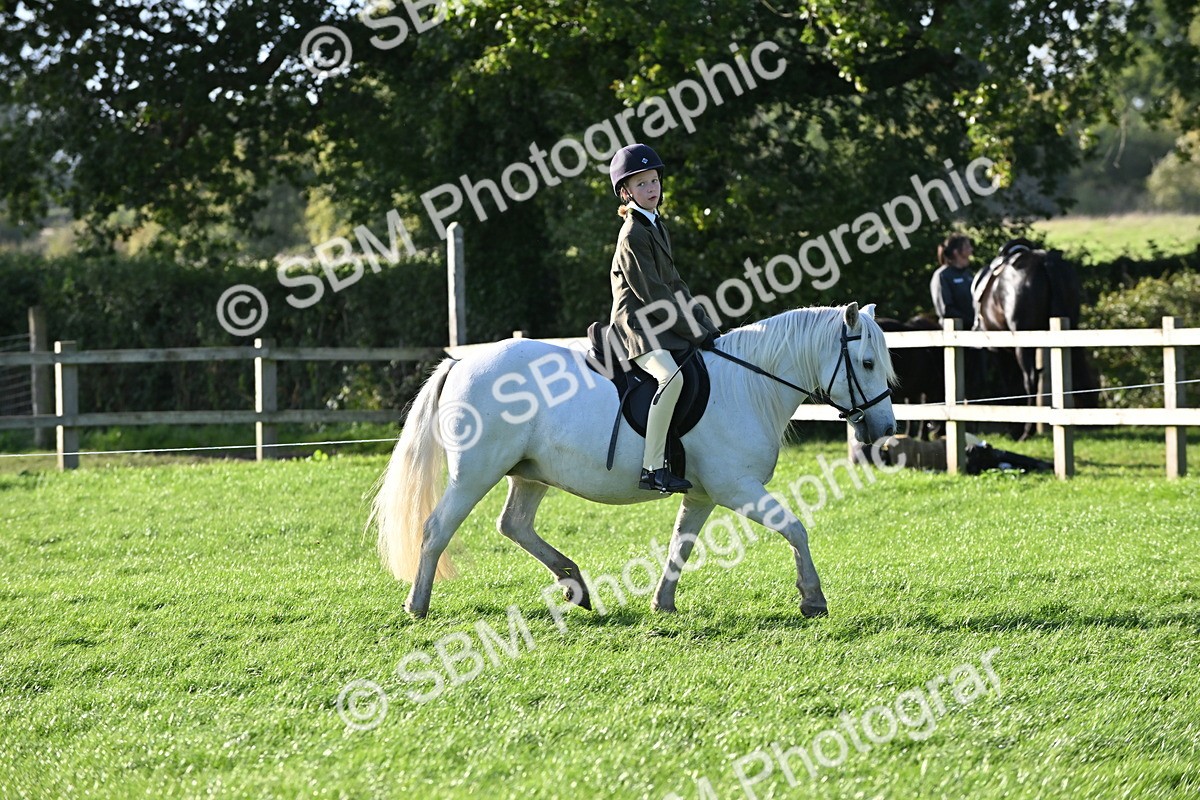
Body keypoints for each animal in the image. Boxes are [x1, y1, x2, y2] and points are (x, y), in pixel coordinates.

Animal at [369, 303, 896, 620]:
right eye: (868, 363)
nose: (885, 430)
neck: (750, 384)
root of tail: (462, 362)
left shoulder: (704, 496)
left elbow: (680, 545)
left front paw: (662, 603)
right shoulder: (737, 489)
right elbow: (795, 528)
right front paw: (813, 598)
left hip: (530, 474)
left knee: (514, 525)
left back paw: (575, 585)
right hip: (474, 474)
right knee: (438, 529)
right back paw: (417, 604)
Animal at [973, 238, 1098, 438]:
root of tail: (1045, 262)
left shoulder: (1000, 352)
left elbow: (1011, 384)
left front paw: (1015, 429)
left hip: (1022, 345)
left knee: (1029, 379)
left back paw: (1027, 429)